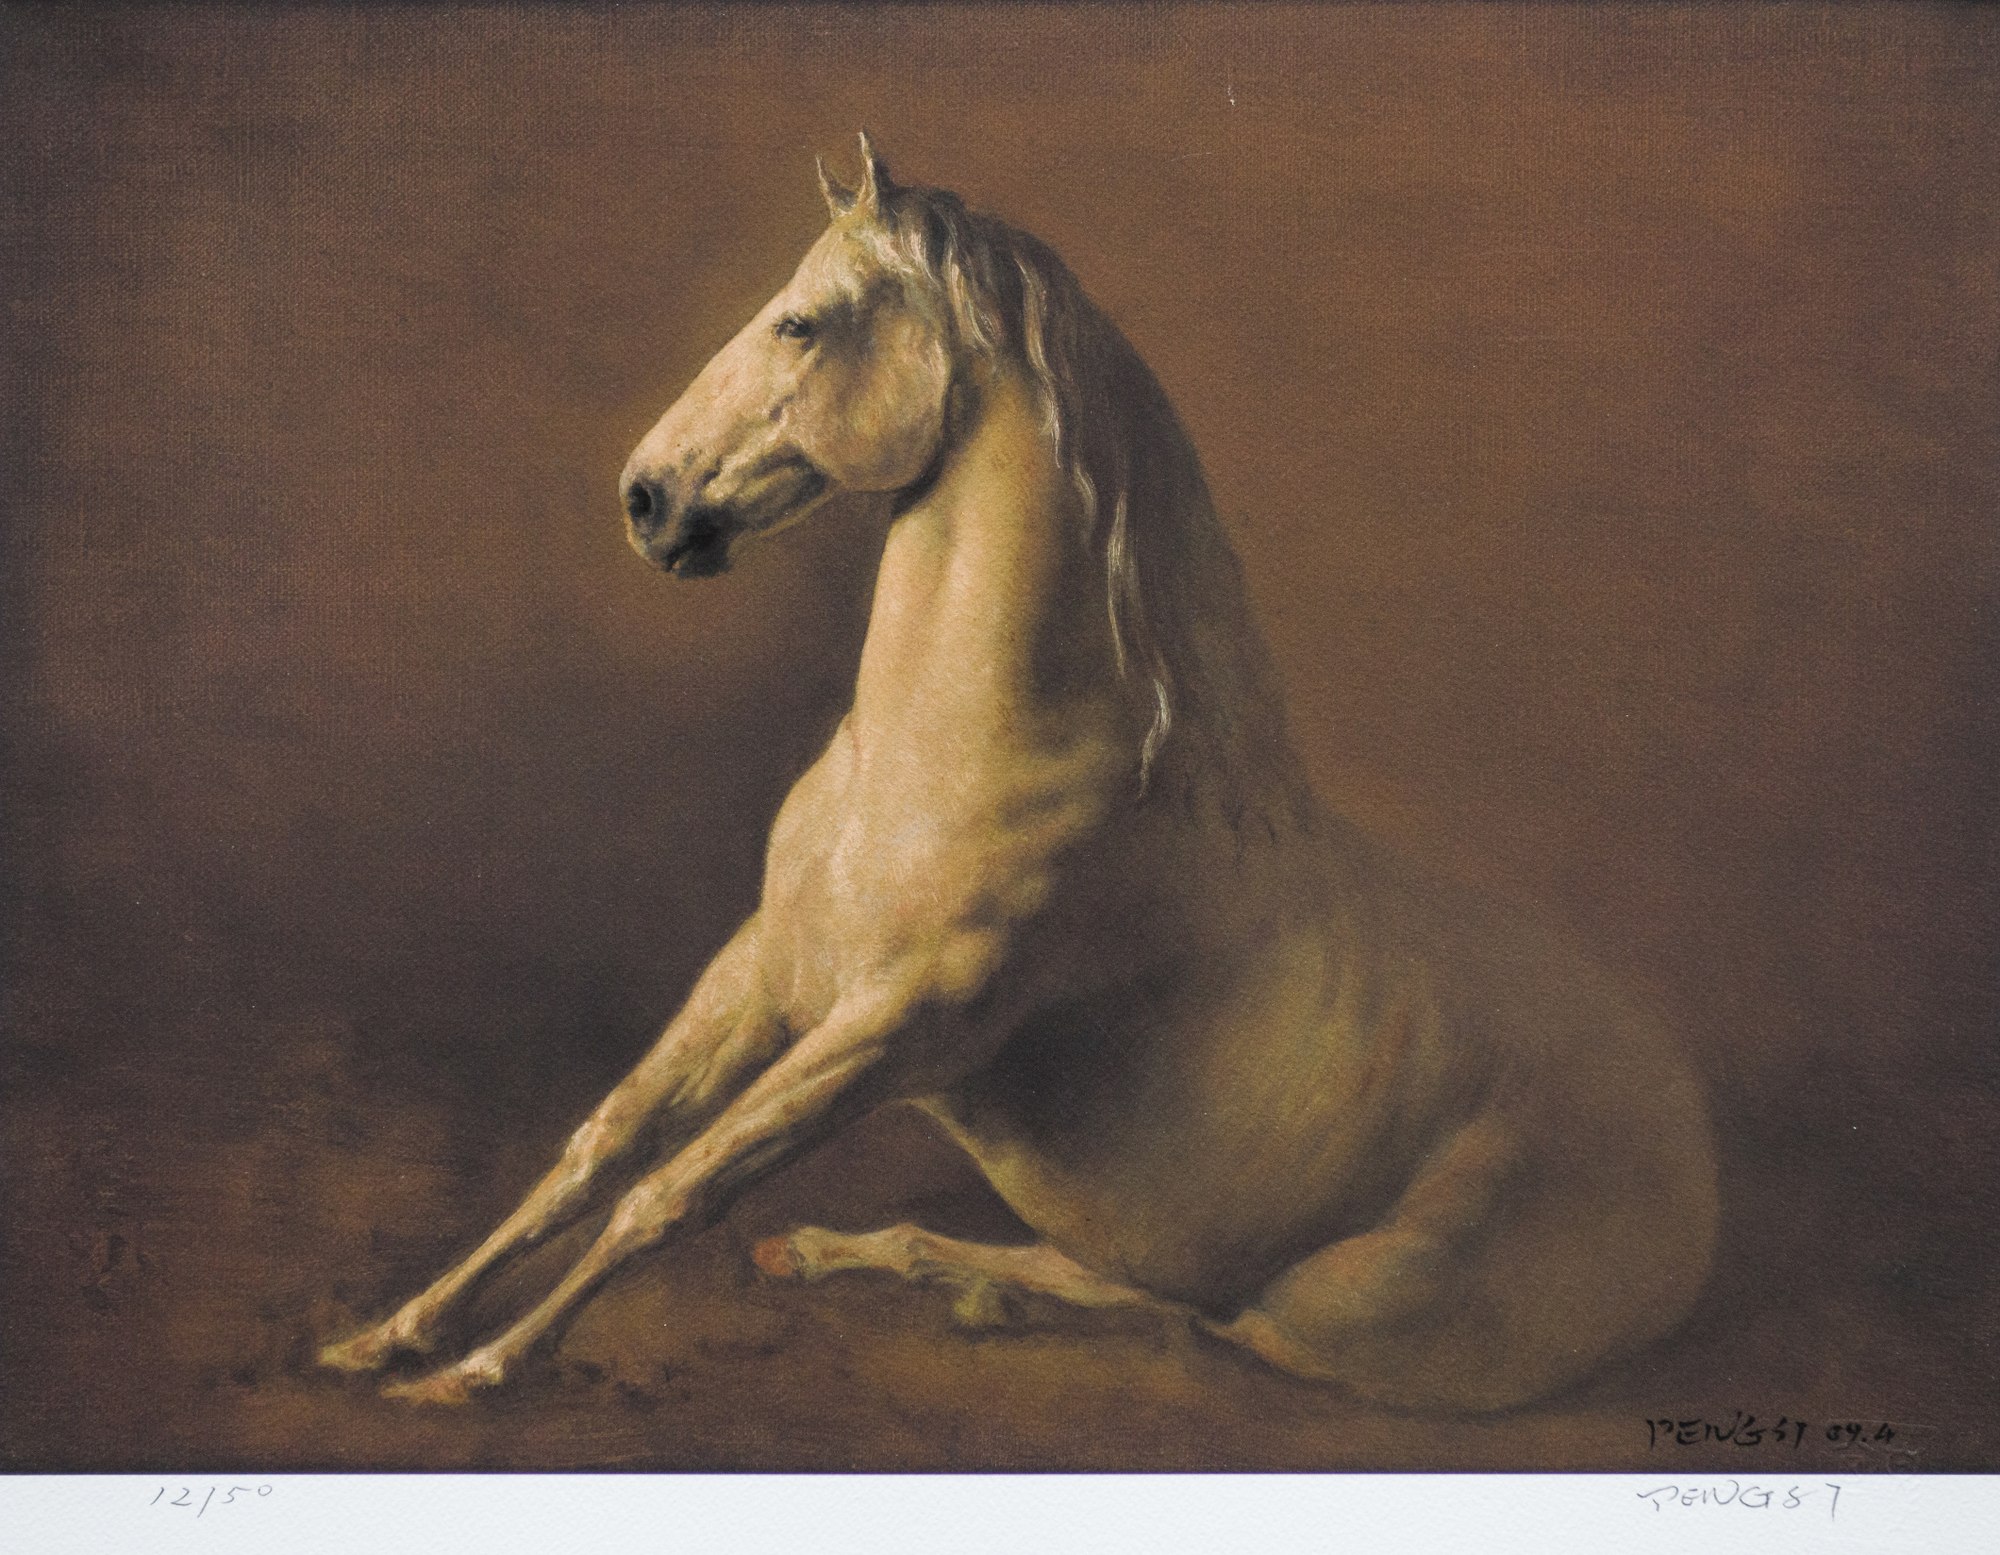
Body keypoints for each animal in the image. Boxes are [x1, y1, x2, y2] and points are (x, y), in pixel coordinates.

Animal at [320, 135, 1719, 1413]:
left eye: (798, 323)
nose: (647, 500)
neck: (946, 763)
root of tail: (1692, 1151)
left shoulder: (891, 1029)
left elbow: (670, 1189)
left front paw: (481, 1370)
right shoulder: (764, 972)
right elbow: (600, 1145)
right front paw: (392, 1334)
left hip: (1337, 1308)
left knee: (1201, 1318)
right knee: (1137, 1282)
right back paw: (856, 1256)